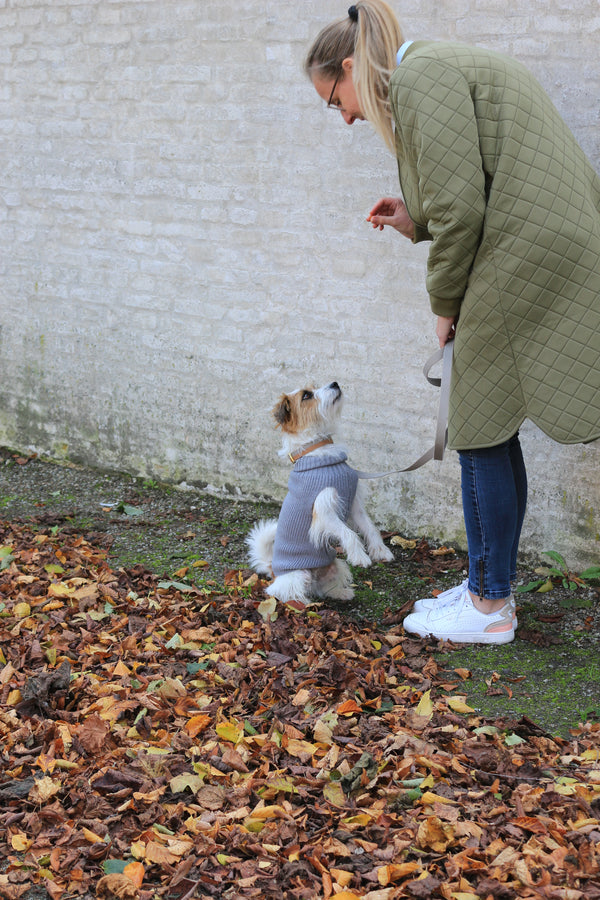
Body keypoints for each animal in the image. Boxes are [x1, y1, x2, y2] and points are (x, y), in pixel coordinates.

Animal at [246, 380, 396, 612]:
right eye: (306, 395)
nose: (335, 383)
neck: (319, 451)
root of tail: (273, 570)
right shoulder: (324, 512)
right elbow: (349, 534)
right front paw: (360, 557)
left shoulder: (353, 505)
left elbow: (370, 528)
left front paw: (381, 551)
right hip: (298, 575)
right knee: (279, 592)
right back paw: (301, 604)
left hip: (334, 565)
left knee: (321, 588)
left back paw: (341, 593)